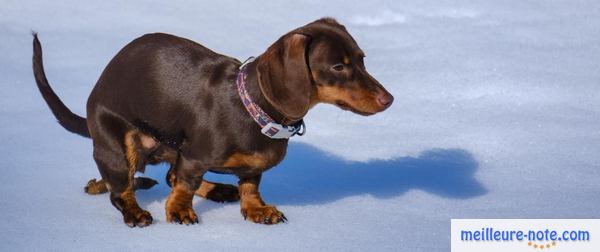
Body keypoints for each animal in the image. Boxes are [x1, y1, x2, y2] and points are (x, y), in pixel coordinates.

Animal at [31, 17, 394, 226]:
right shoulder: (194, 155)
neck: (252, 109)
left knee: (167, 175)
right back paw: (135, 211)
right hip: (120, 147)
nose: (389, 100)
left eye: (361, 59)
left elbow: (250, 184)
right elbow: (185, 184)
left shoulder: (250, 167)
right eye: (338, 66)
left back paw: (219, 190)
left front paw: (257, 209)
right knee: (122, 190)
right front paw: (179, 211)